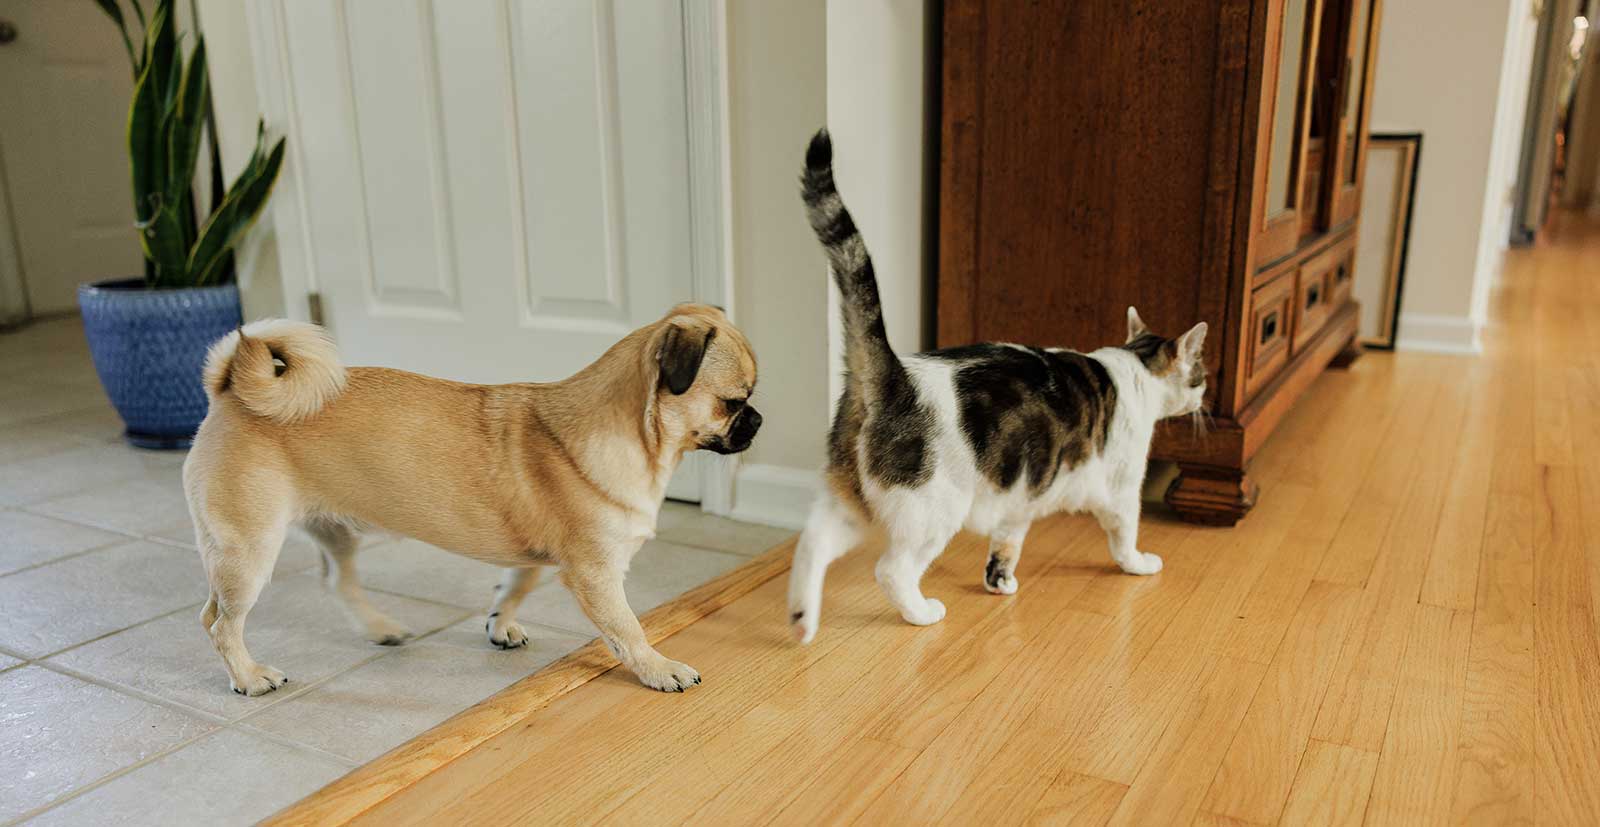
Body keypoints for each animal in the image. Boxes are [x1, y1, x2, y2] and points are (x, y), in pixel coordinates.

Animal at [184, 299, 758, 694]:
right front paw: (659, 669)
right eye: (734, 401)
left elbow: (514, 588)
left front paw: (499, 626)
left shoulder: (536, 559)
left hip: (335, 533)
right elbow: (627, 629)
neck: (633, 434)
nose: (758, 420)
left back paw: (381, 630)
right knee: (218, 623)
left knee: (336, 581)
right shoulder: (596, 574)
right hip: (248, 552)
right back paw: (249, 676)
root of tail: (230, 395)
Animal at [780, 130, 1203, 646]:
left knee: (812, 542)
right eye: (1201, 374)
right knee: (892, 569)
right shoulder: (1120, 489)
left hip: (854, 503)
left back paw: (803, 620)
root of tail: (893, 374)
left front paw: (999, 582)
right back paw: (921, 613)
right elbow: (1125, 535)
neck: (1134, 365)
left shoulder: (1021, 494)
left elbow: (1007, 542)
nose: (1205, 396)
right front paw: (1139, 564)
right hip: (933, 510)